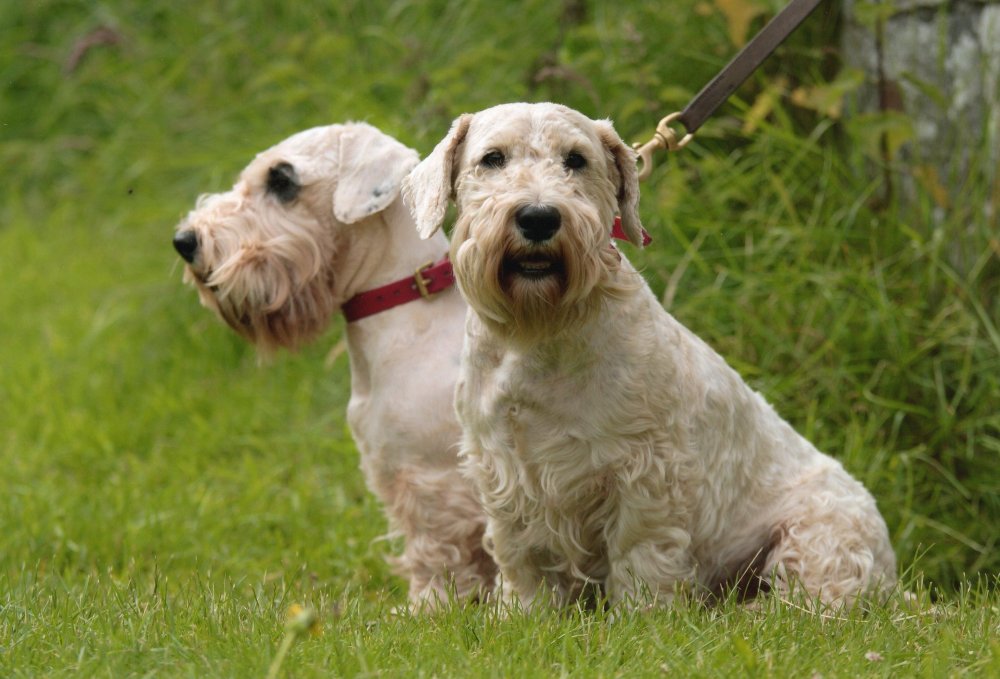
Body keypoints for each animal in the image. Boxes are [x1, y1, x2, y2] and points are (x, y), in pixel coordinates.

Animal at [177, 123, 500, 612]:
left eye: (282, 180)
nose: (185, 241)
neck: (407, 304)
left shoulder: (430, 478)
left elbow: (437, 550)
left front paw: (427, 607)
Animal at [406, 103, 900, 612]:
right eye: (493, 158)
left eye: (576, 159)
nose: (539, 217)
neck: (540, 333)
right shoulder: (504, 468)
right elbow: (522, 555)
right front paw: (524, 613)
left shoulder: (645, 470)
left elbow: (639, 550)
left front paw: (643, 614)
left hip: (819, 535)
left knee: (818, 600)